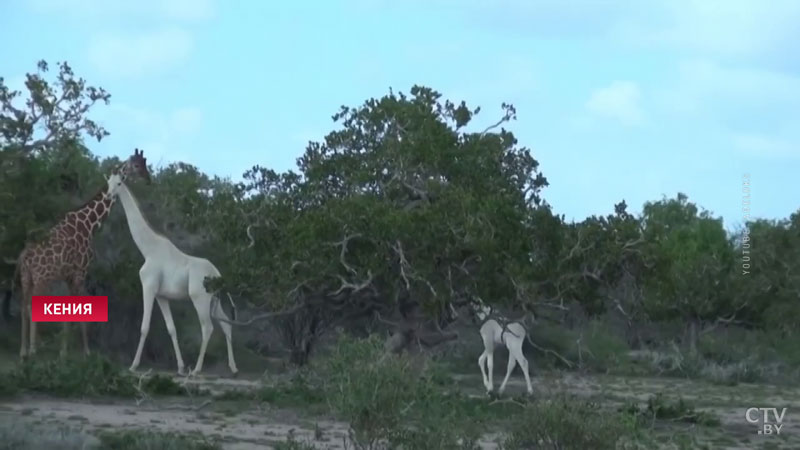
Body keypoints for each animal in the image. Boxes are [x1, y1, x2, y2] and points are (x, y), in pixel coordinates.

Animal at [14, 149, 152, 360]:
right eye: (137, 165)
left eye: (144, 163)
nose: (148, 178)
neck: (89, 225)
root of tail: (25, 256)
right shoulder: (80, 272)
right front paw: (80, 352)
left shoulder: (69, 276)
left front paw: (67, 351)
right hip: (41, 278)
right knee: (30, 307)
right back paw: (33, 350)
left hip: (26, 277)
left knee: (22, 307)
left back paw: (23, 351)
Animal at [106, 173, 238, 376]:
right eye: (108, 183)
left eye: (119, 183)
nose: (109, 195)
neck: (148, 249)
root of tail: (218, 275)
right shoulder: (162, 296)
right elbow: (171, 329)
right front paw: (181, 367)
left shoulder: (148, 287)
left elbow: (144, 327)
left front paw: (134, 365)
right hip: (214, 300)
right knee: (226, 325)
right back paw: (233, 367)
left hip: (200, 298)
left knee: (207, 327)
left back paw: (197, 369)